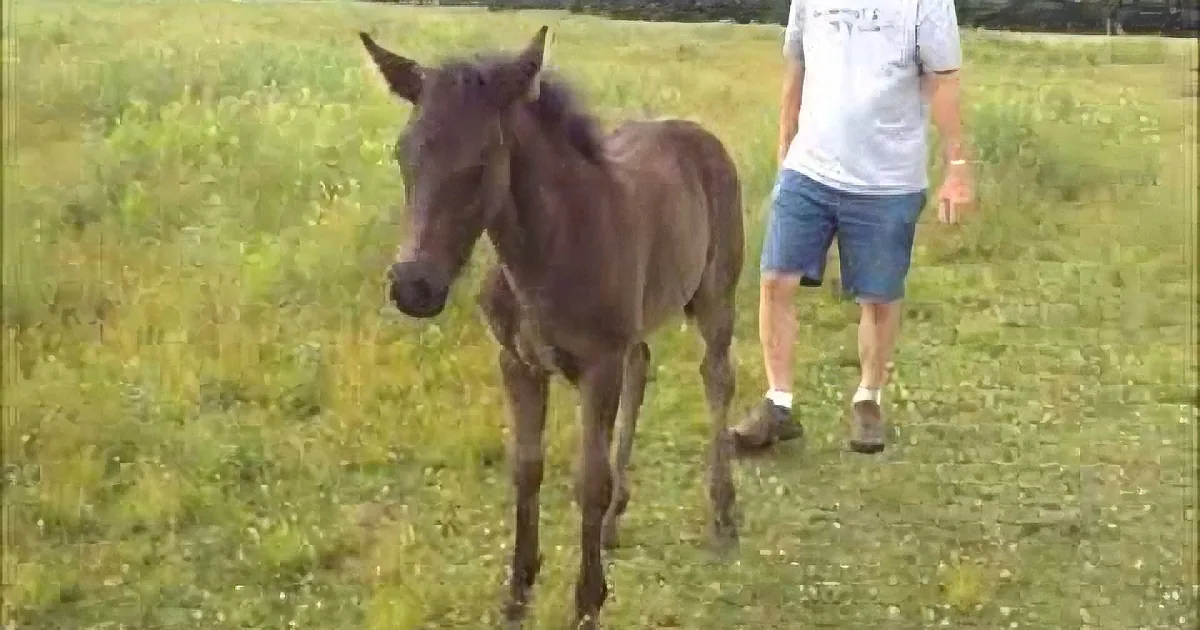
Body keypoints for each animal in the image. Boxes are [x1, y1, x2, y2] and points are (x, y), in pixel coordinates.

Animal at [359, 26, 746, 629]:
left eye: (481, 162)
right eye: (403, 154)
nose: (412, 288)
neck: (546, 254)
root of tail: (697, 132)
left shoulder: (598, 366)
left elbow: (589, 479)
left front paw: (587, 602)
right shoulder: (517, 362)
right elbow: (526, 468)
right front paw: (517, 592)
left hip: (715, 295)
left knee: (717, 377)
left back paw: (723, 510)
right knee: (643, 367)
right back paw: (613, 523)